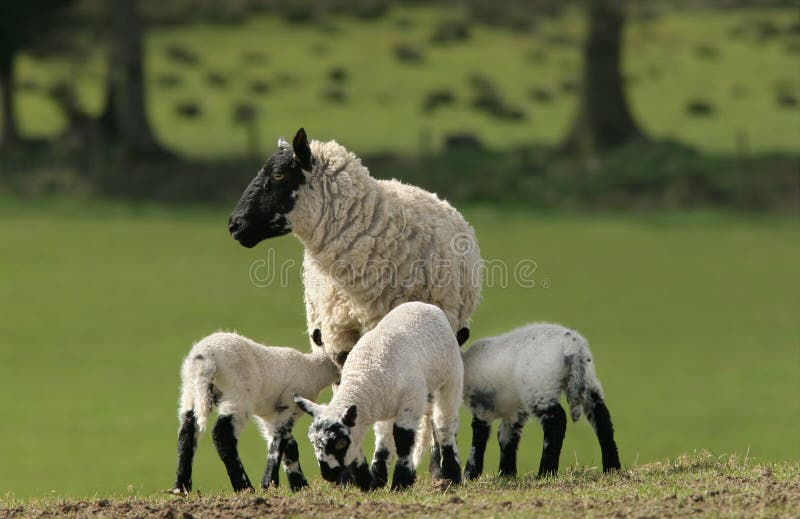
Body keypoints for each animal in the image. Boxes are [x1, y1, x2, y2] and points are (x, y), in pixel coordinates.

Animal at [170, 334, 340, 496]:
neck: (314, 368)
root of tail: (204, 359)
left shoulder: (270, 415)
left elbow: (289, 445)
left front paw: (299, 486)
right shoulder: (289, 406)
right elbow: (278, 442)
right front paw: (270, 484)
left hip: (191, 391)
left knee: (187, 432)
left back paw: (181, 487)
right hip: (238, 394)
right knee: (222, 434)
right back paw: (244, 487)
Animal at [292, 300, 462, 492]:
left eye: (340, 443)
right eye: (313, 443)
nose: (328, 475)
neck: (365, 372)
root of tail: (424, 305)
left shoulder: (411, 401)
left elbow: (403, 439)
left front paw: (401, 483)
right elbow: (380, 440)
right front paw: (373, 481)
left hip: (451, 377)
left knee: (444, 422)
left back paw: (452, 474)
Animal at [460, 322, 620, 482]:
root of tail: (572, 345)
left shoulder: (482, 407)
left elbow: (479, 438)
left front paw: (470, 473)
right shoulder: (514, 411)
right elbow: (506, 438)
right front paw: (506, 474)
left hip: (541, 388)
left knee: (556, 421)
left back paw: (545, 472)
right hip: (588, 381)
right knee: (602, 419)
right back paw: (612, 468)